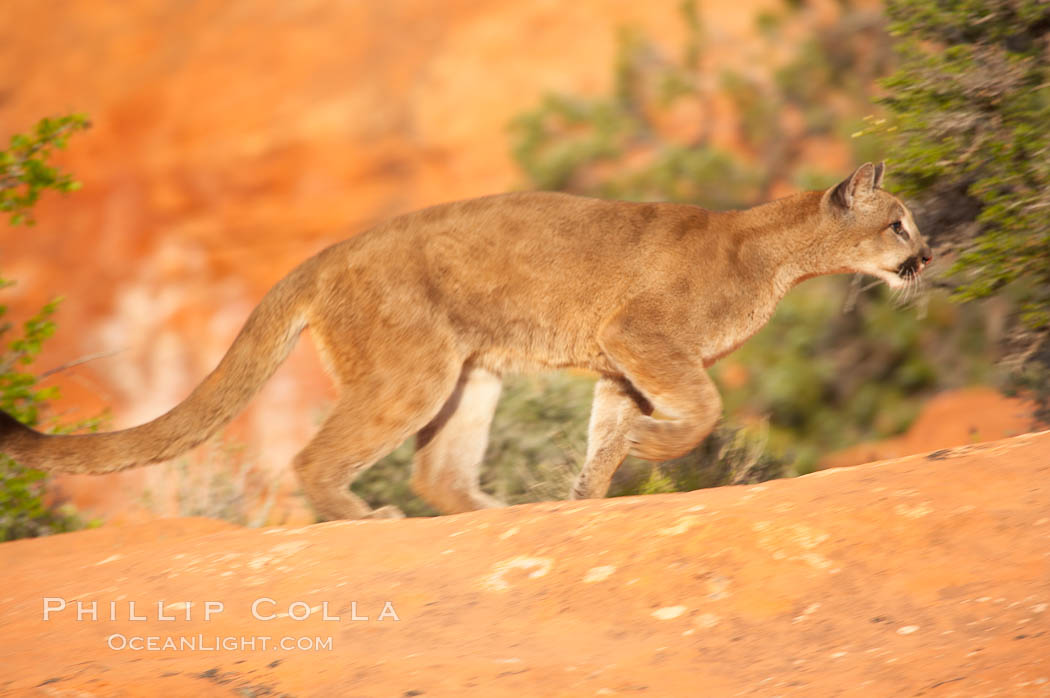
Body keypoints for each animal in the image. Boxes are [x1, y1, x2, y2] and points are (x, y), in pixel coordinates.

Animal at [4, 161, 932, 516]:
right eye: (897, 223)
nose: (927, 256)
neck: (770, 253)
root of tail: (328, 251)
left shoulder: (619, 363)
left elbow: (606, 433)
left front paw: (586, 495)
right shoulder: (641, 336)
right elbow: (699, 410)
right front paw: (648, 450)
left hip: (470, 374)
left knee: (437, 473)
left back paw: (503, 512)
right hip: (414, 373)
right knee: (317, 458)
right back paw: (366, 517)